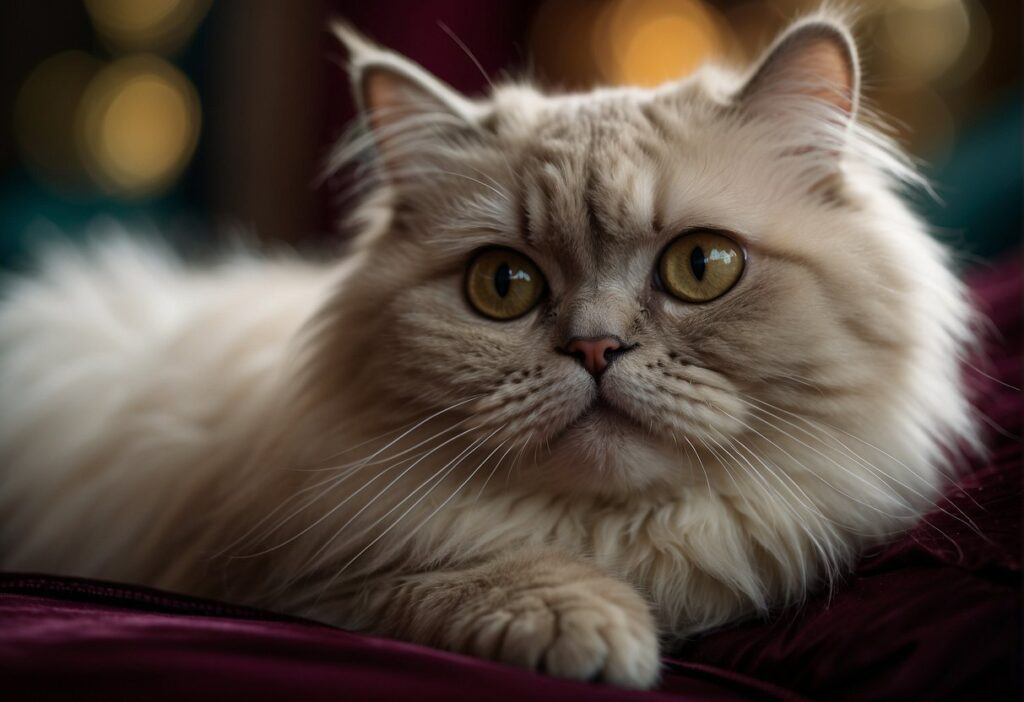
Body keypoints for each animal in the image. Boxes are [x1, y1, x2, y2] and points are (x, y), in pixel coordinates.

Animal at [0, 12, 974, 691]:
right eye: (503, 285)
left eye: (703, 266)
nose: (595, 347)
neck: (615, 542)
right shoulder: (285, 577)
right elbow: (468, 573)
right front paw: (594, 631)